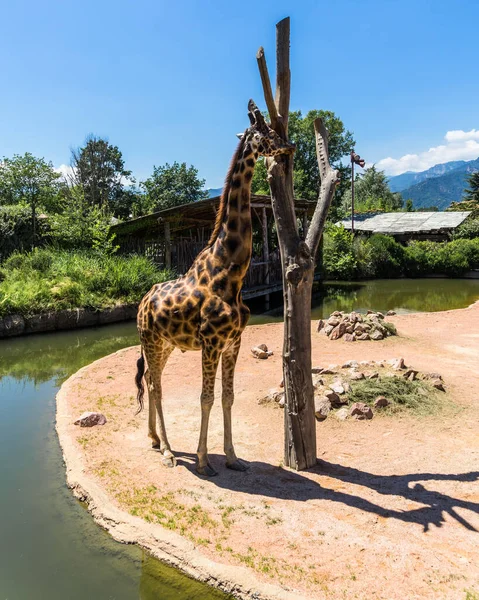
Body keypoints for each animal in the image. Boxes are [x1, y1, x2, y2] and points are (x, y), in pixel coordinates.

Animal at [133, 99, 294, 478]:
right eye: (266, 131)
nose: (290, 147)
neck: (230, 273)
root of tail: (142, 303)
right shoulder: (210, 342)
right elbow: (205, 397)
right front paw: (205, 460)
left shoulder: (234, 342)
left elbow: (227, 397)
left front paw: (233, 457)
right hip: (151, 341)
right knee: (156, 387)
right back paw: (168, 451)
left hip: (165, 344)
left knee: (152, 383)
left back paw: (155, 440)